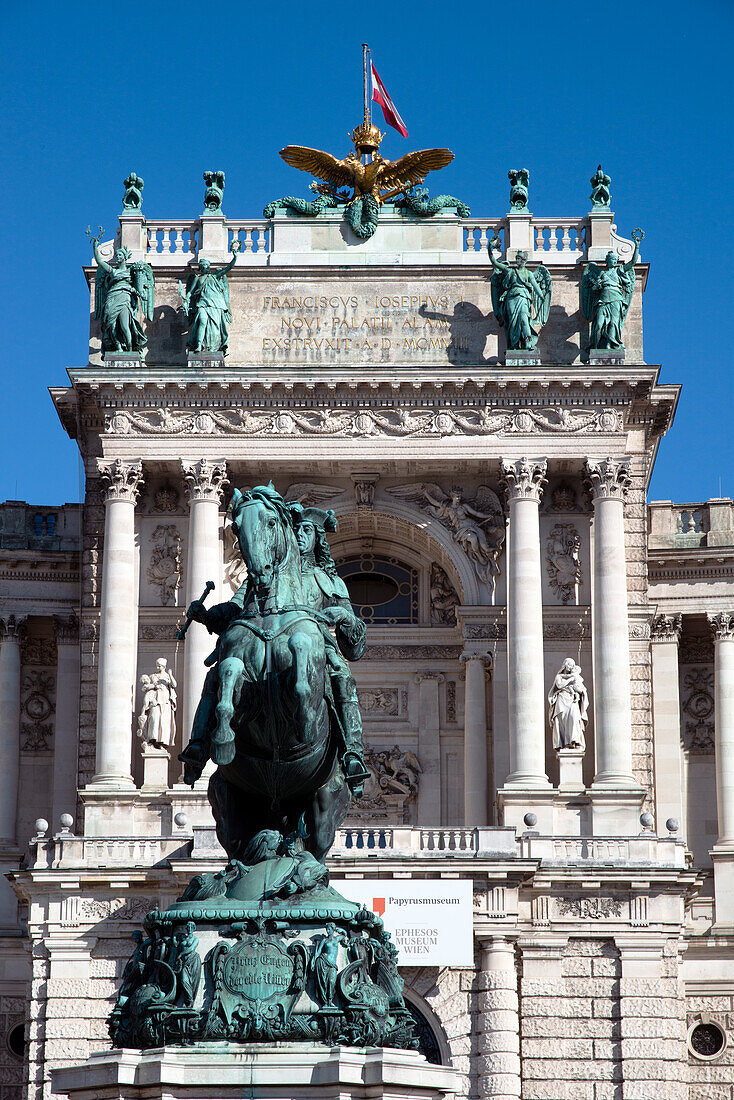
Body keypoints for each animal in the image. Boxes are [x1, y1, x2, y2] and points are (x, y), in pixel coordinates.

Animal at [206, 488, 347, 858]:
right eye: (236, 526)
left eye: (271, 521)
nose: (261, 574)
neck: (273, 613)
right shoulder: (239, 672)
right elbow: (227, 673)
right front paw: (222, 738)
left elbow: (302, 658)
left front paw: (305, 723)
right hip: (231, 804)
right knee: (241, 848)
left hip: (325, 804)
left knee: (314, 849)